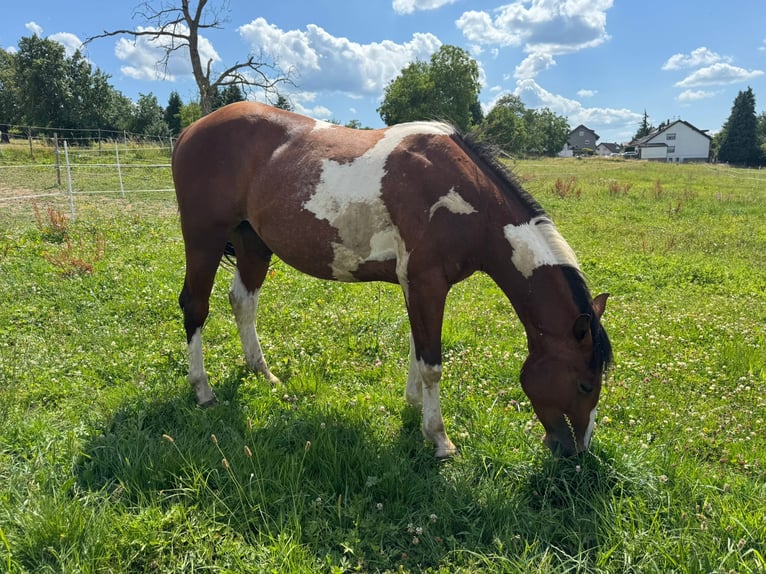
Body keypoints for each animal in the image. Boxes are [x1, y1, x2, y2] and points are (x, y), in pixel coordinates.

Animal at [172, 101, 612, 458]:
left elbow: (418, 349)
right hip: (204, 239)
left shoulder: (418, 286)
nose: (576, 452)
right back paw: (203, 390)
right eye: (585, 385)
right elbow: (432, 363)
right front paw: (439, 438)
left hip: (253, 244)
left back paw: (262, 373)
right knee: (195, 306)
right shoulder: (427, 283)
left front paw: (414, 406)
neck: (466, 197)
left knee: (243, 302)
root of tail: (191, 130)